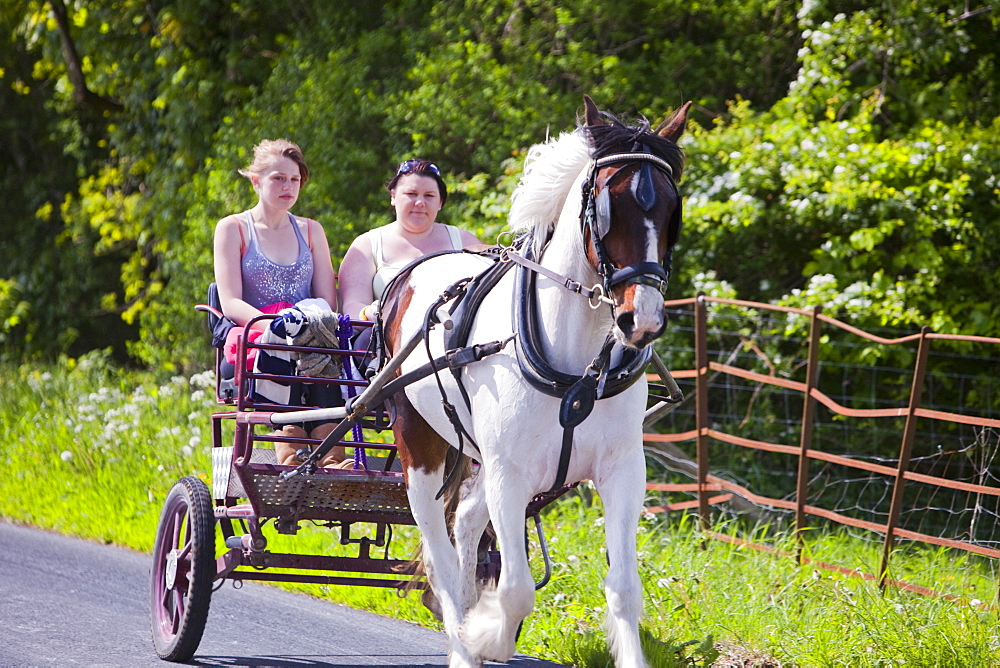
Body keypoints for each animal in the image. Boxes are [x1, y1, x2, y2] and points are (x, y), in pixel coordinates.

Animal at [376, 95, 688, 668]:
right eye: (606, 206)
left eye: (671, 210)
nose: (644, 319)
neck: (576, 364)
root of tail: (411, 275)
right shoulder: (510, 472)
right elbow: (517, 589)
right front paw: (485, 636)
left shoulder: (622, 471)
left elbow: (624, 588)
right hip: (422, 448)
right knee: (438, 551)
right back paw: (462, 643)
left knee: (465, 521)